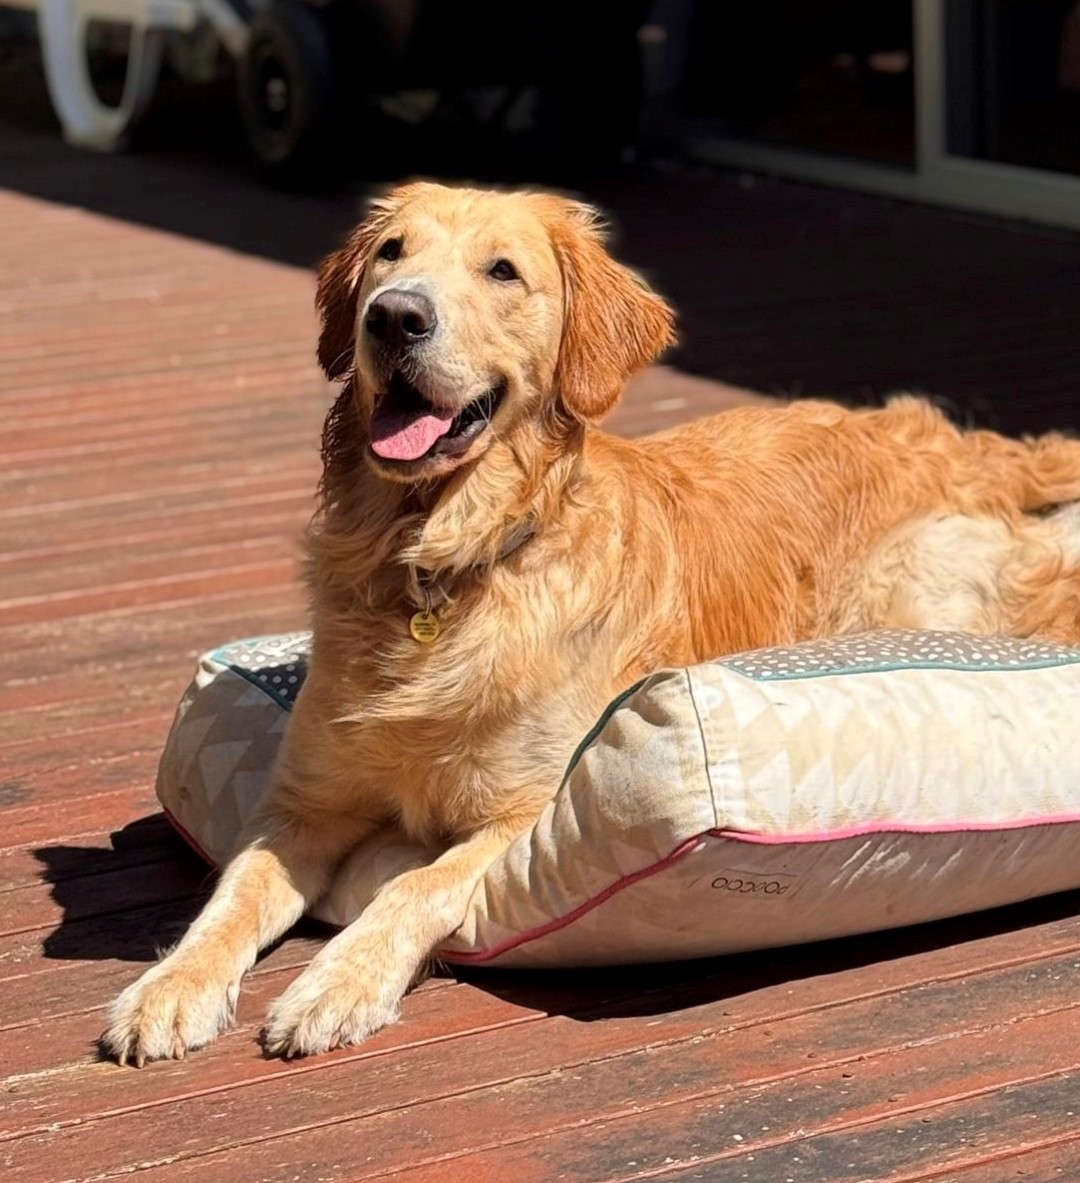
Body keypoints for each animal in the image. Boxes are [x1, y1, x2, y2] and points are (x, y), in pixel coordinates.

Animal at [101, 182, 1078, 1064]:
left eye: (502, 269)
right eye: (390, 254)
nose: (393, 316)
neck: (440, 561)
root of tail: (958, 438)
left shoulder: (524, 812)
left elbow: (414, 884)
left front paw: (337, 984)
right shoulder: (301, 805)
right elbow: (231, 897)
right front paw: (168, 989)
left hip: (914, 583)